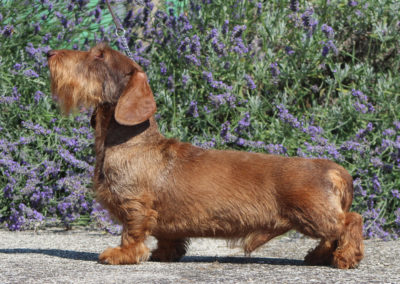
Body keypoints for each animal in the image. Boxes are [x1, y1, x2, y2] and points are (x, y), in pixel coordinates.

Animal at [47, 43, 366, 268]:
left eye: (99, 55)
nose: (49, 53)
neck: (130, 141)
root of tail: (334, 169)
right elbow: (167, 237)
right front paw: (164, 253)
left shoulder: (134, 205)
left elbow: (132, 231)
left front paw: (121, 253)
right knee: (332, 235)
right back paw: (319, 256)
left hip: (311, 214)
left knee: (350, 221)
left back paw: (346, 257)